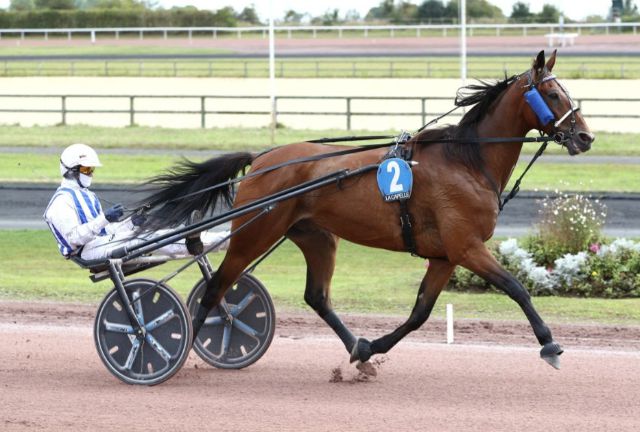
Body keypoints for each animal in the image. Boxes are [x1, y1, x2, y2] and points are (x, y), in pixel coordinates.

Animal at [141, 50, 594, 370]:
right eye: (554, 94)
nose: (586, 137)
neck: (467, 161)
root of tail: (264, 158)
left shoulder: (445, 256)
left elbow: (419, 313)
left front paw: (371, 347)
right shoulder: (466, 247)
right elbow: (517, 288)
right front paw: (549, 343)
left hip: (316, 237)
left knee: (315, 296)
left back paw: (354, 347)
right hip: (254, 232)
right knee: (217, 286)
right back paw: (171, 352)